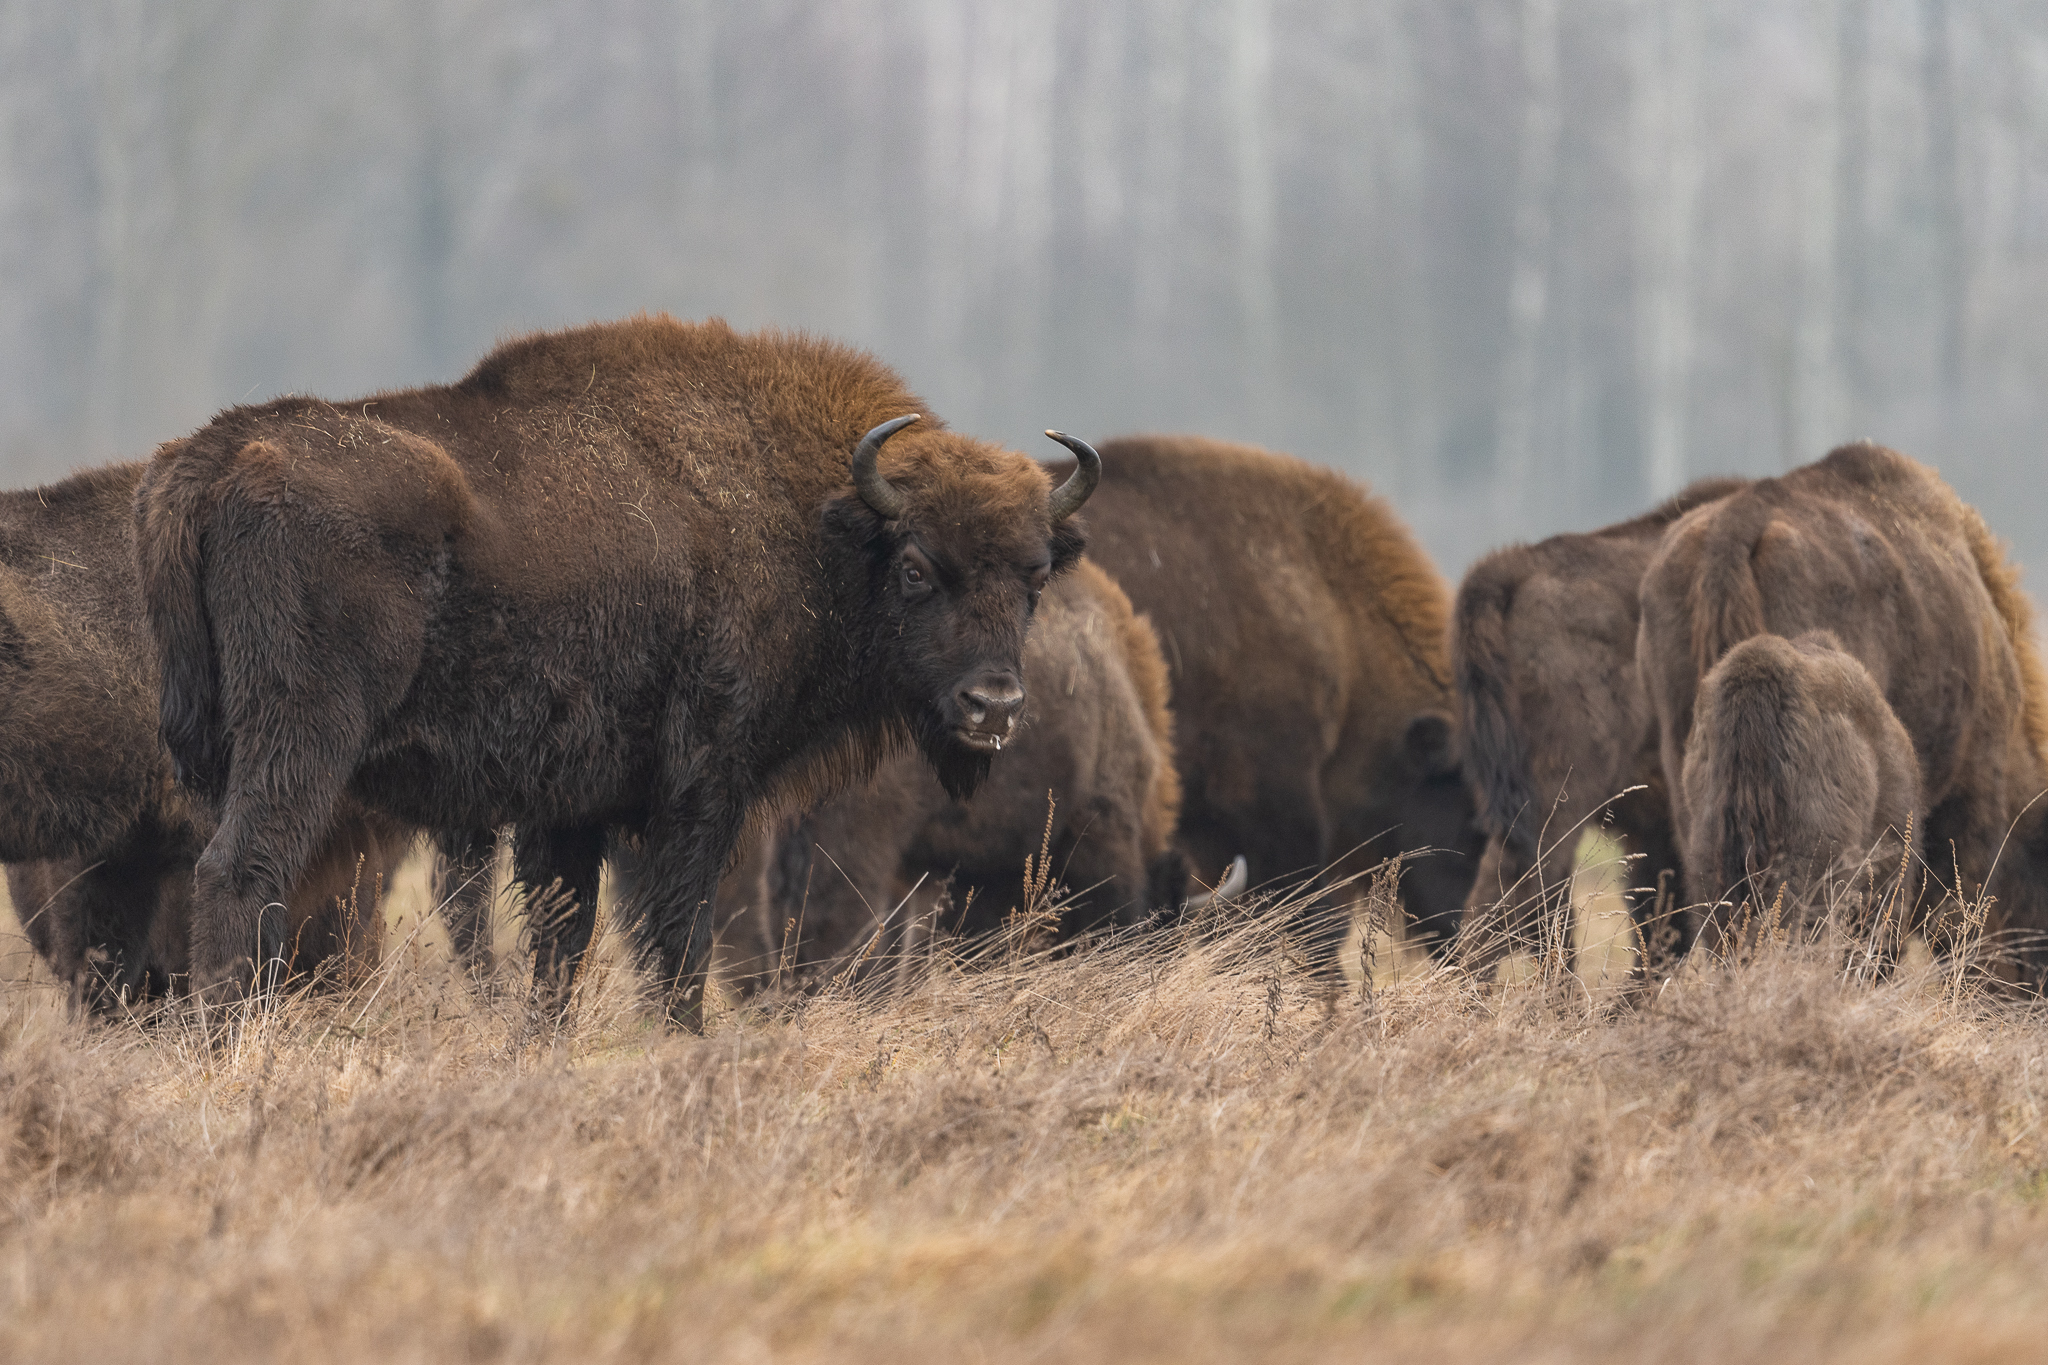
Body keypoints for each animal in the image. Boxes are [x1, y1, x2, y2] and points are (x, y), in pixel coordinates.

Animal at [135, 315, 1100, 1024]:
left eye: (1034, 576)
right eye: (916, 569)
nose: (992, 705)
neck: (814, 522)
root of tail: (211, 460)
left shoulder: (570, 809)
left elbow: (562, 943)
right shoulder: (698, 792)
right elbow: (676, 942)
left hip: (217, 752)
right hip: (301, 740)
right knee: (242, 871)